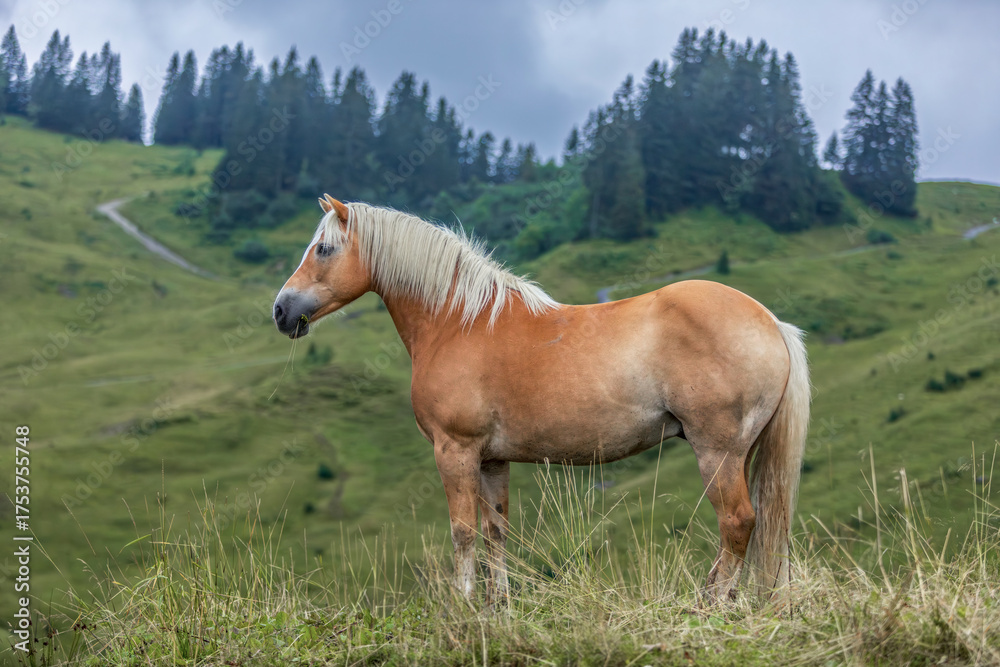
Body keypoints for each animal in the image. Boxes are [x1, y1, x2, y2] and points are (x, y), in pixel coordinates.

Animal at [273, 194, 810, 603]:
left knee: (738, 523)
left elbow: (463, 531)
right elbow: (496, 531)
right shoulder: (491, 460)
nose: (281, 310)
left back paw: (711, 605)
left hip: (718, 453)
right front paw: (498, 608)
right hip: (741, 456)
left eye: (324, 248)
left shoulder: (455, 451)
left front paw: (462, 607)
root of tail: (770, 322)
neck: (459, 321)